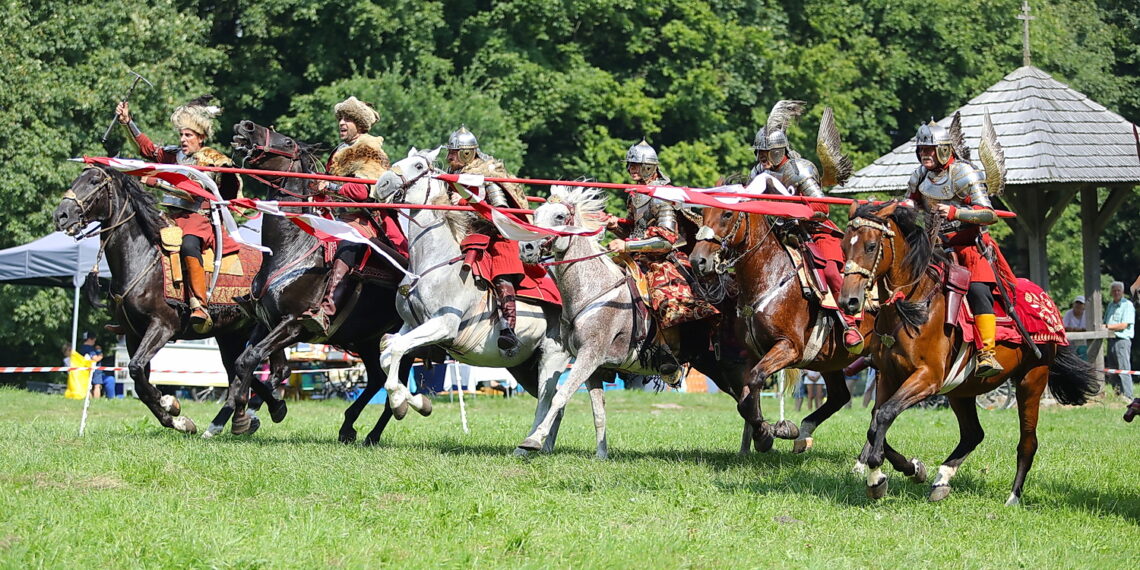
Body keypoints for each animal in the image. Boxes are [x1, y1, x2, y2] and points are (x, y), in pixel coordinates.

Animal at [53, 166, 289, 433]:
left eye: (94, 181)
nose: (61, 215)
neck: (142, 258)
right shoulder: (134, 334)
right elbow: (139, 380)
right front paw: (177, 419)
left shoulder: (162, 326)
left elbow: (136, 369)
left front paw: (169, 403)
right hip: (231, 334)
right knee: (239, 371)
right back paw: (239, 418)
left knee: (271, 369)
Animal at [371, 147, 574, 453]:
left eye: (417, 165)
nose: (382, 184)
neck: (433, 262)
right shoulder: (411, 326)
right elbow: (387, 352)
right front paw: (417, 402)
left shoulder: (443, 325)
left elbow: (395, 349)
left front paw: (398, 402)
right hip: (524, 367)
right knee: (555, 404)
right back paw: (542, 446)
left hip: (552, 356)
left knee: (547, 400)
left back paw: (528, 445)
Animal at [684, 202, 861, 451]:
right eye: (704, 213)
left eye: (727, 213)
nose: (698, 260)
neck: (770, 274)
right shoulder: (752, 354)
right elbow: (745, 399)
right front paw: (765, 433)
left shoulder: (788, 348)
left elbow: (755, 380)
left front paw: (768, 432)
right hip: (831, 362)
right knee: (839, 396)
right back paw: (804, 432)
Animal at [839, 201, 1103, 503]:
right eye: (844, 246)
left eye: (871, 246)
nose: (849, 301)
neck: (913, 304)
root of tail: (1047, 302)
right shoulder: (890, 376)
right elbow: (875, 422)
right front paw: (905, 469)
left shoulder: (927, 378)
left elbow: (882, 416)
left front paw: (879, 475)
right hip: (961, 390)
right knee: (973, 434)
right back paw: (942, 479)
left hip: (1032, 379)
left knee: (1027, 441)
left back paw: (1012, 497)